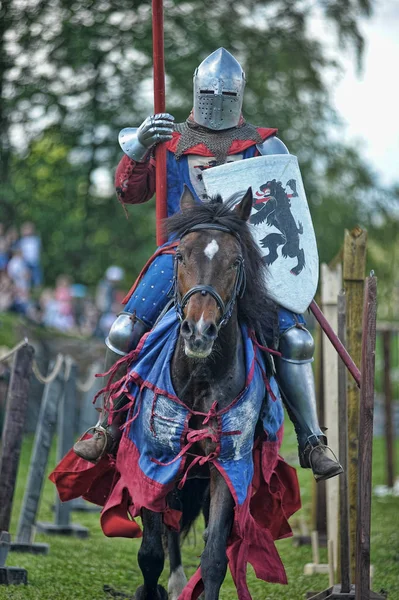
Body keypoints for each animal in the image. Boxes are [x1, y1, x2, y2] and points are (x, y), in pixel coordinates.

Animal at [126, 184, 296, 600]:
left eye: (236, 262)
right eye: (181, 255)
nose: (199, 331)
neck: (201, 375)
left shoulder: (227, 464)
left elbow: (215, 556)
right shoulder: (153, 455)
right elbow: (150, 553)